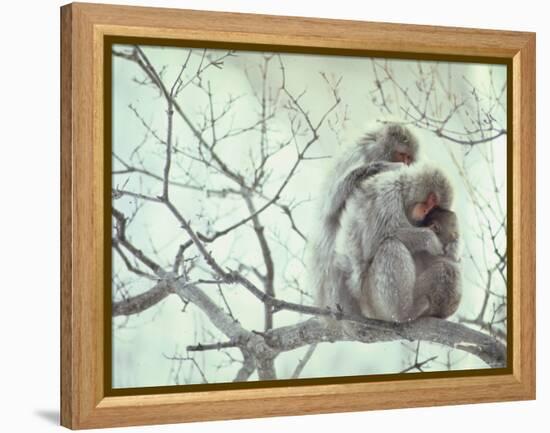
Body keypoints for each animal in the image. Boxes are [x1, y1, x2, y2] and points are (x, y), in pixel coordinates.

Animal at [332, 164, 458, 322]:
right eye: (432, 199)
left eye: (435, 206)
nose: (425, 210)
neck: (403, 196)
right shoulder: (387, 195)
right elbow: (376, 240)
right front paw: (431, 240)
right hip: (372, 299)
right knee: (390, 246)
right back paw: (404, 313)